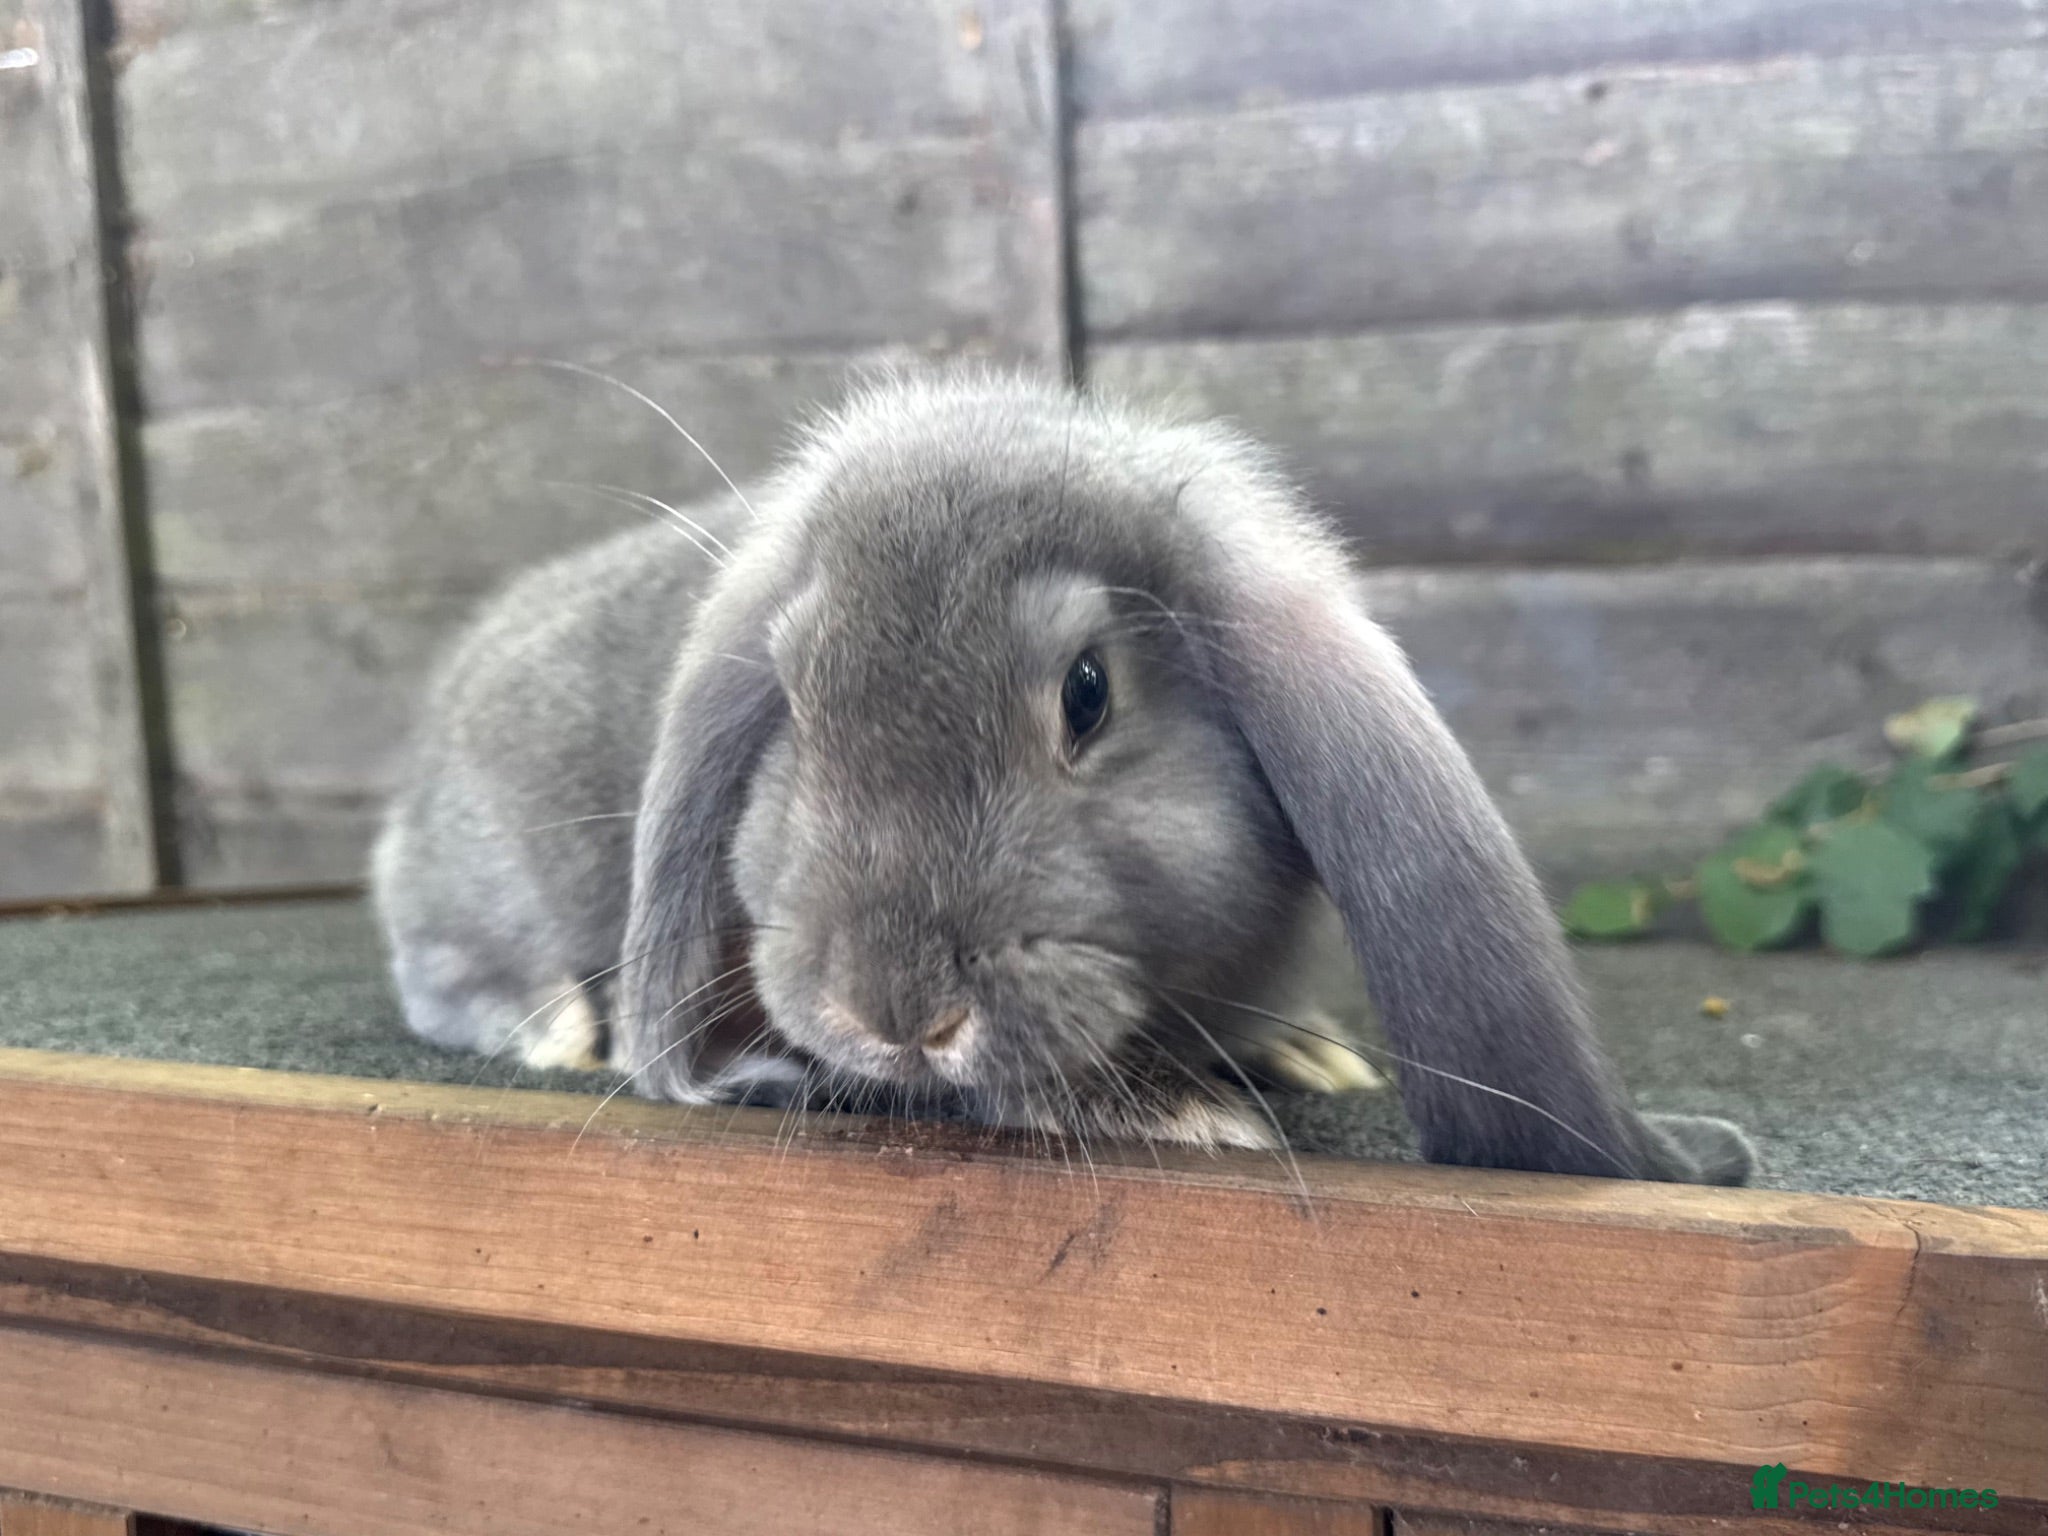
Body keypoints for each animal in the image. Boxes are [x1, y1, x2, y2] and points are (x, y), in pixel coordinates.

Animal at [372, 370, 1754, 1184]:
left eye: (1086, 692)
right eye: (793, 696)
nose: (898, 1015)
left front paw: (1302, 1053)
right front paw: (1189, 1118)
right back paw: (555, 1028)